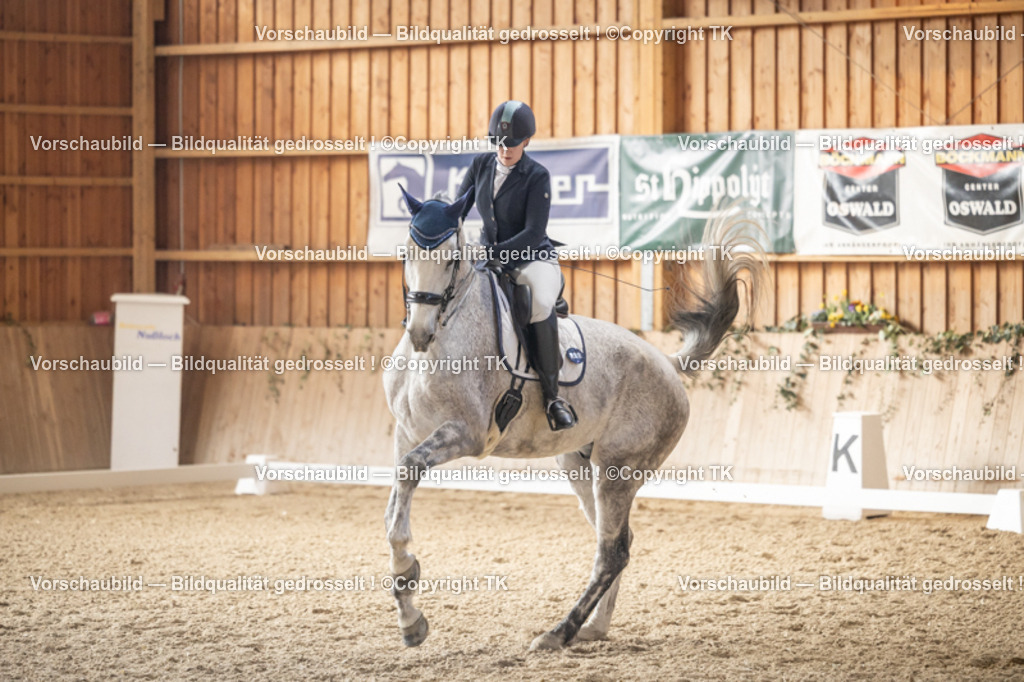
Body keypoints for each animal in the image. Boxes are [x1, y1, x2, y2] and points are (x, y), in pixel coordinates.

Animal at [383, 190, 768, 651]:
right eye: (406, 253)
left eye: (452, 259)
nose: (420, 333)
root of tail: (666, 362)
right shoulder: (407, 433)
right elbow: (395, 506)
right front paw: (409, 615)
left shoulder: (466, 434)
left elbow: (407, 483)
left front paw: (408, 589)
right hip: (579, 464)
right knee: (617, 541)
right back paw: (594, 628)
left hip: (618, 470)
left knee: (612, 551)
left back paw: (559, 632)